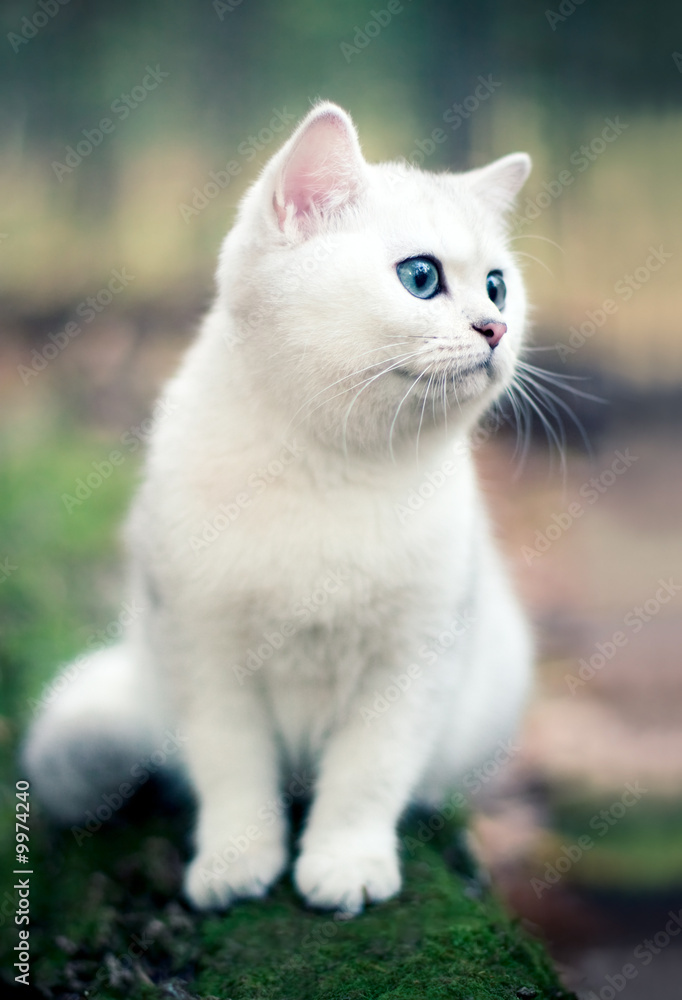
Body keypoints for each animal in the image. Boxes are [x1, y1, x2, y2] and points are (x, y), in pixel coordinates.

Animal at [23, 99, 532, 916]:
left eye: (497, 286)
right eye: (421, 277)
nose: (497, 329)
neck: (332, 469)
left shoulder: (413, 662)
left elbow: (367, 777)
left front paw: (346, 864)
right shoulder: (203, 654)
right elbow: (233, 774)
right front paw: (236, 863)